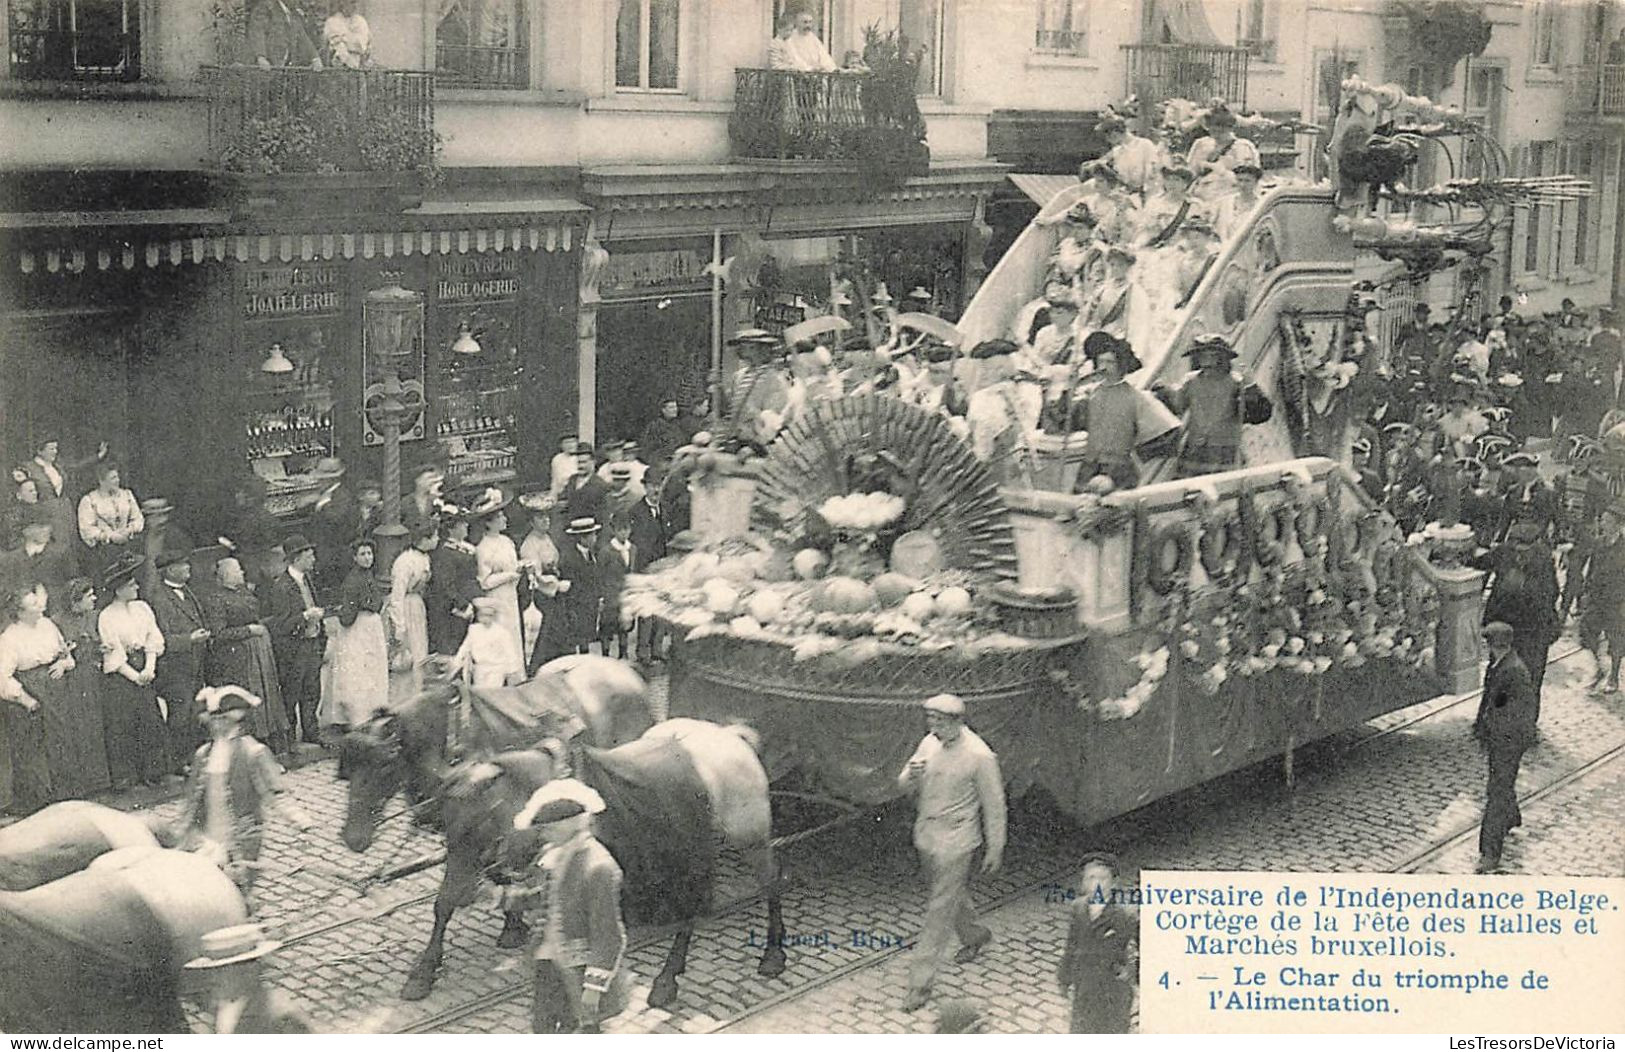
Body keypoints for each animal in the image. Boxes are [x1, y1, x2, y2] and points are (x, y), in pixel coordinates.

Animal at [339, 653, 789, 1008]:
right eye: (346, 770)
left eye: (383, 763)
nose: (352, 839)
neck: (454, 733)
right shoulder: (469, 845)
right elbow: (449, 900)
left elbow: (458, 898)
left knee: (760, 880)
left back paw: (765, 953)